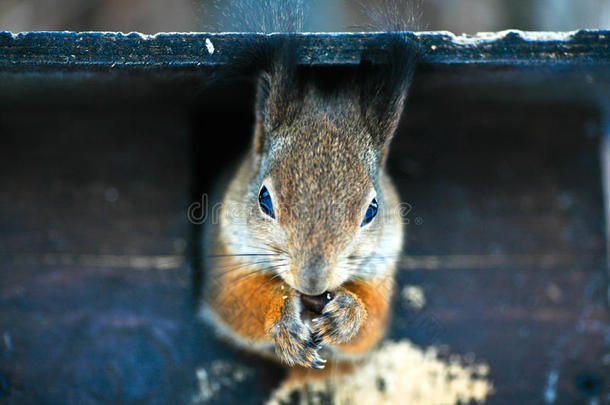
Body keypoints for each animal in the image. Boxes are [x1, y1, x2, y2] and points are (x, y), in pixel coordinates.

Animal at [197, 0, 416, 370]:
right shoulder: (225, 262)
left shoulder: (380, 272)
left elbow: (371, 324)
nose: (313, 282)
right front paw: (284, 322)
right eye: (265, 199)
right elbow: (239, 301)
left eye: (372, 210)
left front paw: (348, 313)